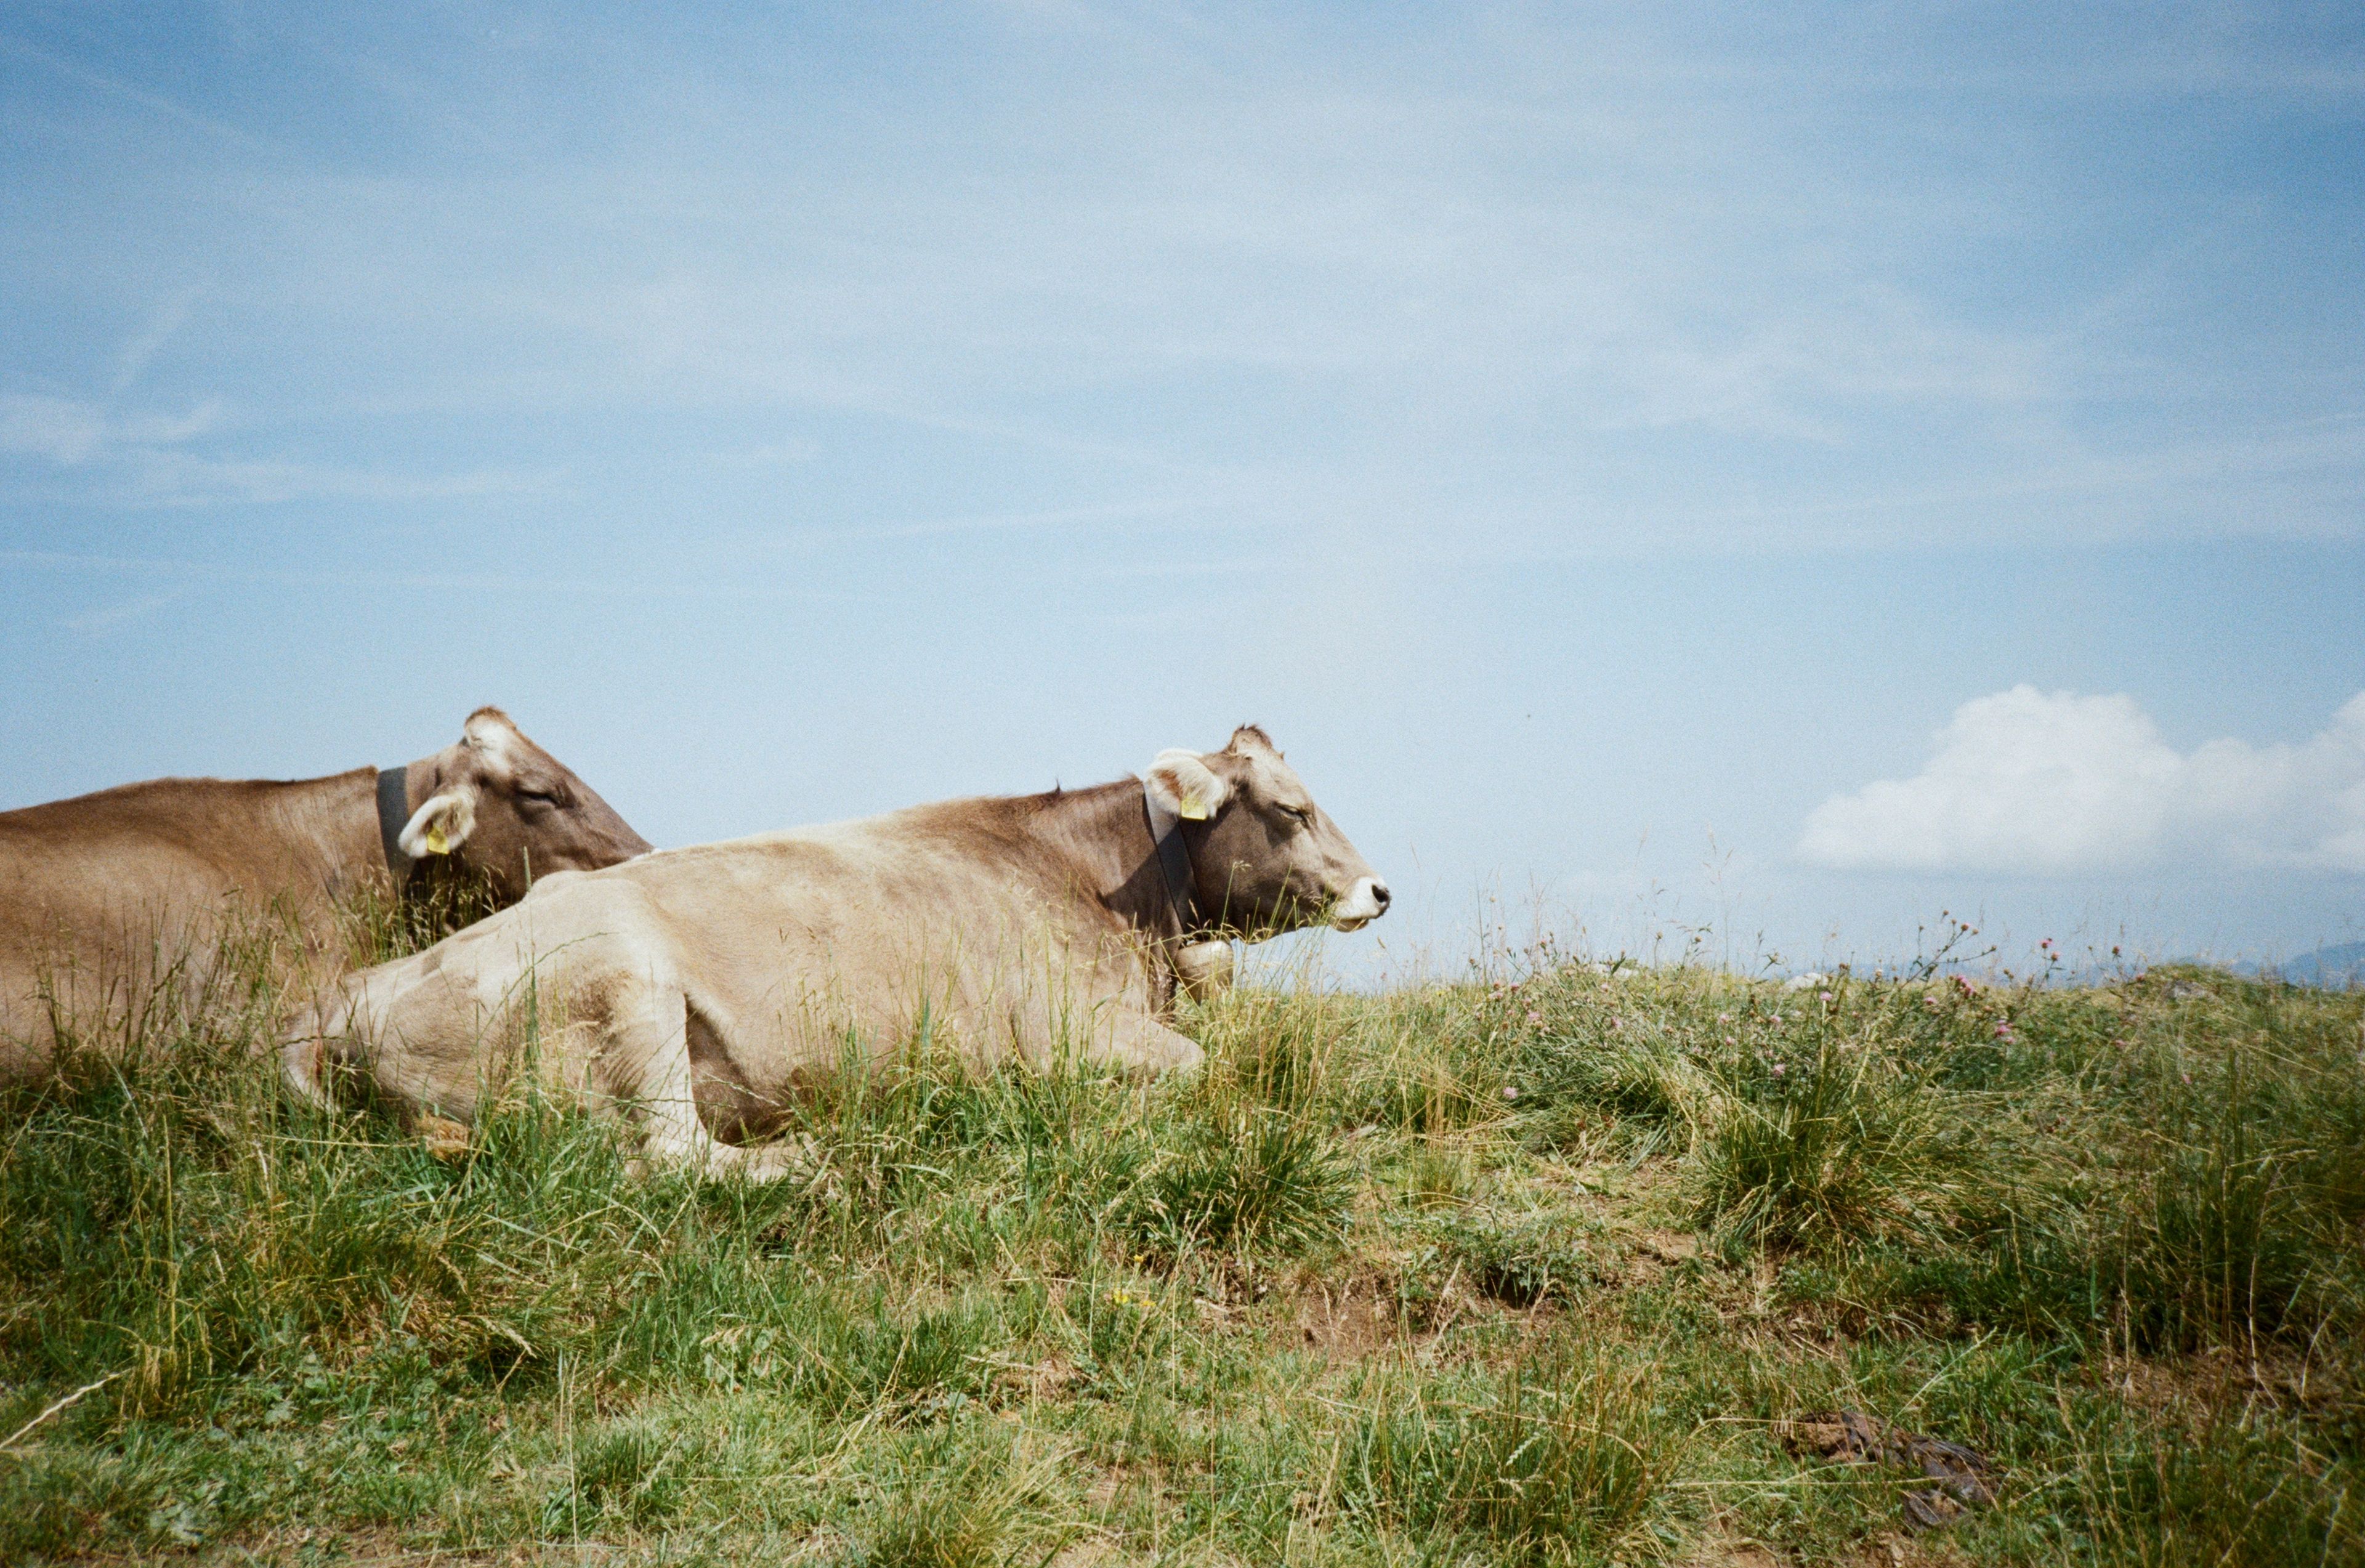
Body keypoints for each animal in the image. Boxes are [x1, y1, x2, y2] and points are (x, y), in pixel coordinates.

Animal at [282, 725, 1387, 1178]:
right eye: (1292, 808)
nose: (1380, 890)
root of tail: (341, 1000)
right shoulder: (1069, 1035)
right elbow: (1202, 1068)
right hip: (629, 979)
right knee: (673, 1158)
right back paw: (819, 1151)